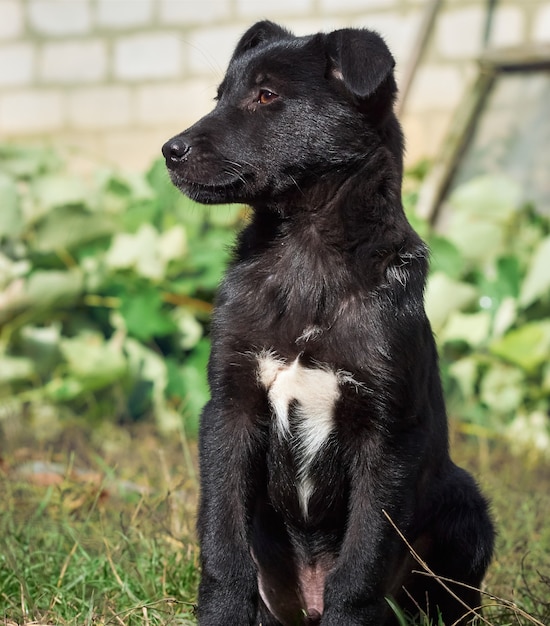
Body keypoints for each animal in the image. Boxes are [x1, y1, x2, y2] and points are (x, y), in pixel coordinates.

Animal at [163, 20, 496, 624]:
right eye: (219, 96)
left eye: (267, 96)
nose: (169, 151)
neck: (306, 252)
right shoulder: (230, 410)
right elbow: (222, 542)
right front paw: (221, 612)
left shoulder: (386, 436)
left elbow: (362, 563)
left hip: (466, 504)